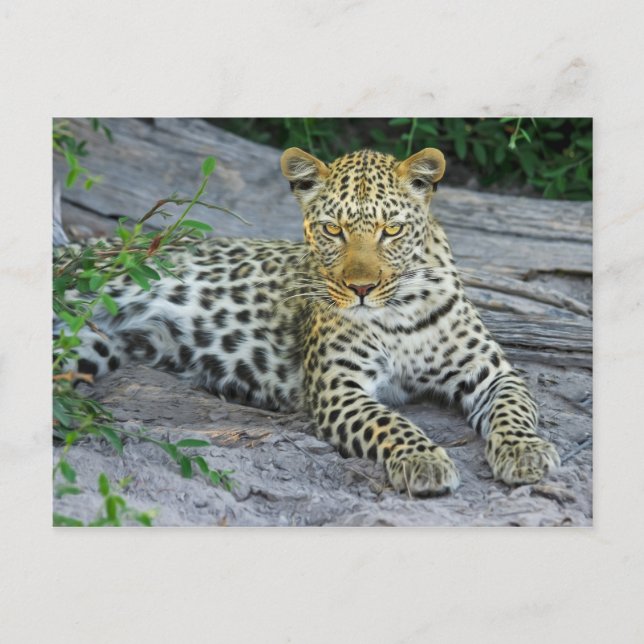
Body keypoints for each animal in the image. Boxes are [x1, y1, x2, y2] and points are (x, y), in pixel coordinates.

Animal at [66, 146, 560, 496]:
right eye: (333, 229)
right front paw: (424, 461)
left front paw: (526, 452)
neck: (399, 310)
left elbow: (514, 410)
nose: (361, 288)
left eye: (392, 231)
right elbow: (391, 423)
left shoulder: (492, 372)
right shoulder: (339, 388)